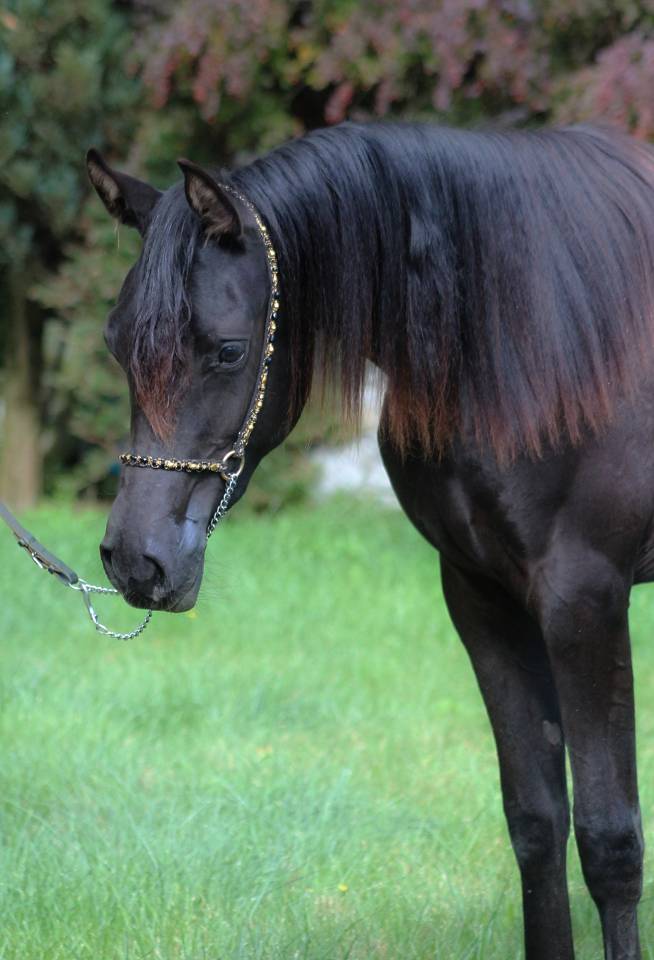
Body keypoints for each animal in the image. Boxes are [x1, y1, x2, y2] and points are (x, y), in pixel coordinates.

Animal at [87, 121, 654, 960]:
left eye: (227, 350)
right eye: (117, 343)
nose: (135, 560)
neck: (533, 334)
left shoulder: (586, 600)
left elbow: (610, 843)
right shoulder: (483, 597)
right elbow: (536, 823)